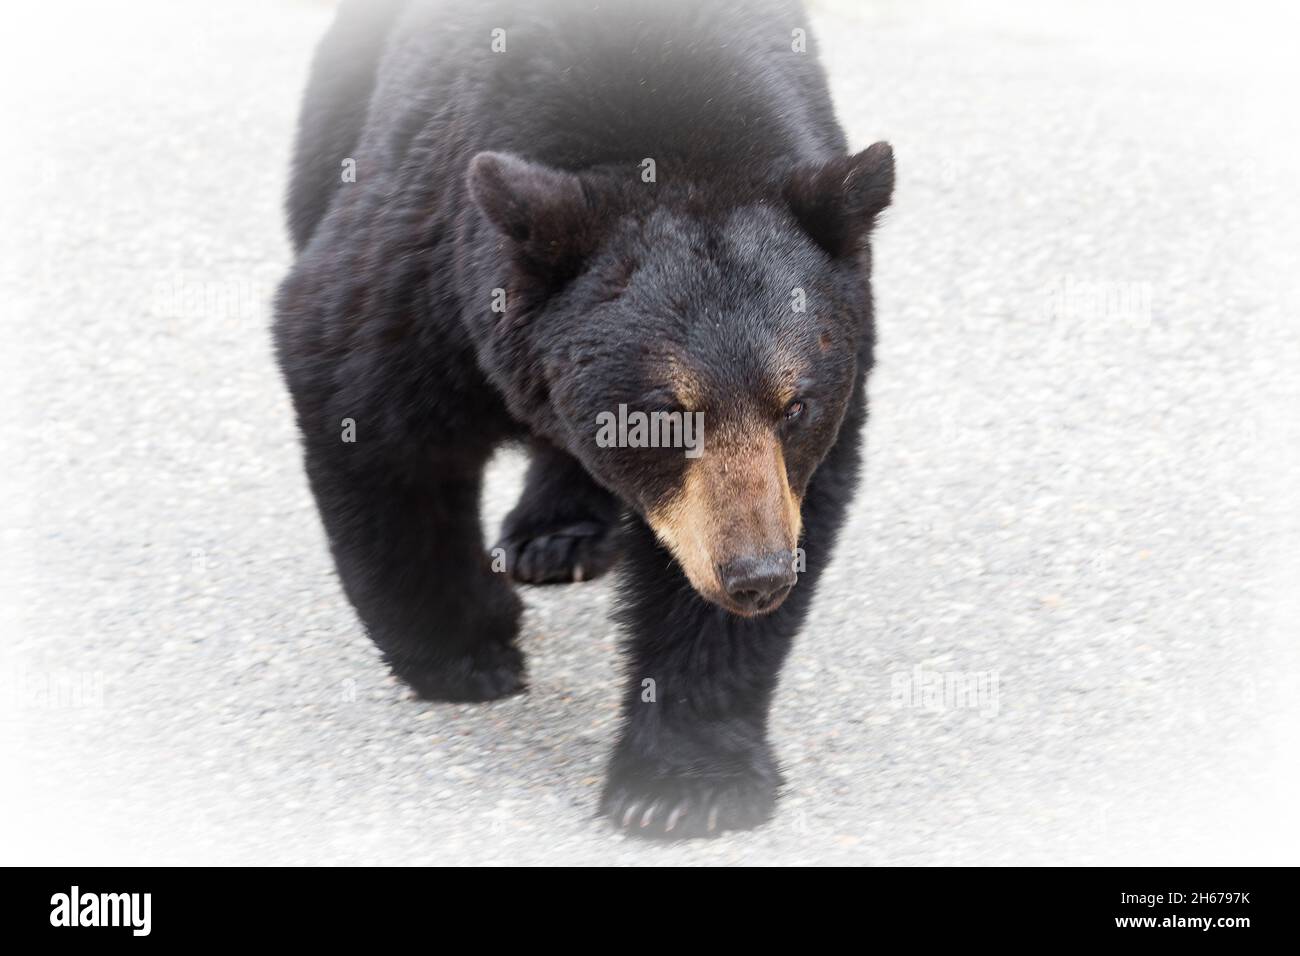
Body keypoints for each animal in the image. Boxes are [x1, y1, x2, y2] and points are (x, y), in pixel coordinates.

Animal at [276, 0, 894, 837]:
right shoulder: (427, 256)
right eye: (665, 416)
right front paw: (465, 651)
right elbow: (369, 417)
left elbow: (802, 500)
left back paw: (559, 531)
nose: (756, 576)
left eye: (794, 406)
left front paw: (684, 784)